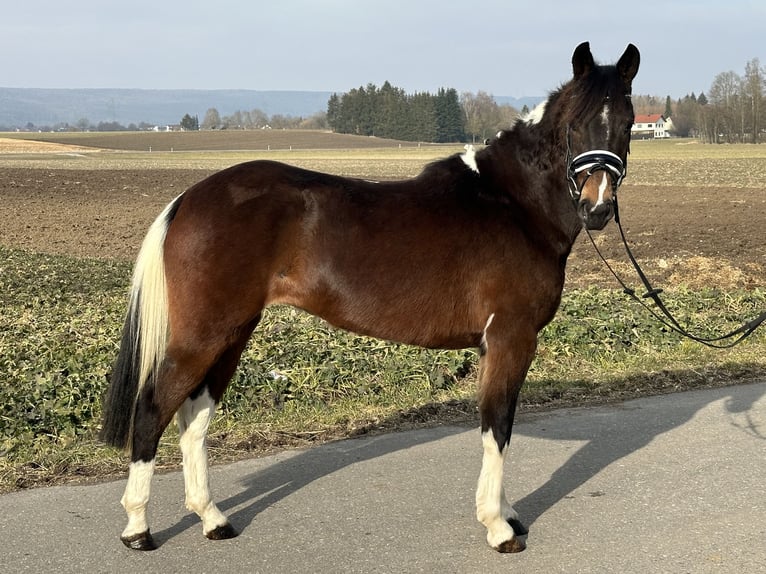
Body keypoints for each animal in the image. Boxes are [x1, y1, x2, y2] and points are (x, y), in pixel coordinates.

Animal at [102, 41, 640, 552]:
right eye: (576, 125)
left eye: (628, 123)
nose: (597, 209)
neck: (512, 205)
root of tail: (190, 197)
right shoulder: (512, 337)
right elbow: (498, 427)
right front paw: (499, 528)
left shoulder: (498, 345)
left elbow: (496, 423)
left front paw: (506, 514)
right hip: (204, 335)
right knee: (152, 409)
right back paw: (137, 528)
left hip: (232, 333)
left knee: (194, 418)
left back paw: (212, 519)